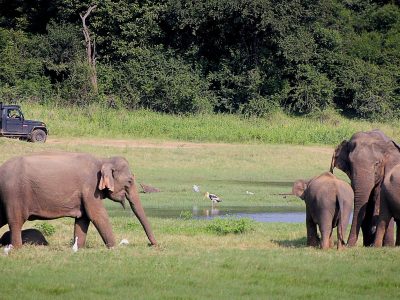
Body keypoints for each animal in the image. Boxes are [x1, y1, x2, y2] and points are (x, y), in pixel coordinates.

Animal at [0, 152, 157, 248]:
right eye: (130, 181)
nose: (153, 245)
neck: (103, 160)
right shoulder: (90, 188)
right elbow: (97, 215)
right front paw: (114, 248)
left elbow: (83, 219)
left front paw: (78, 248)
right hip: (14, 194)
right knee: (15, 221)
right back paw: (17, 248)